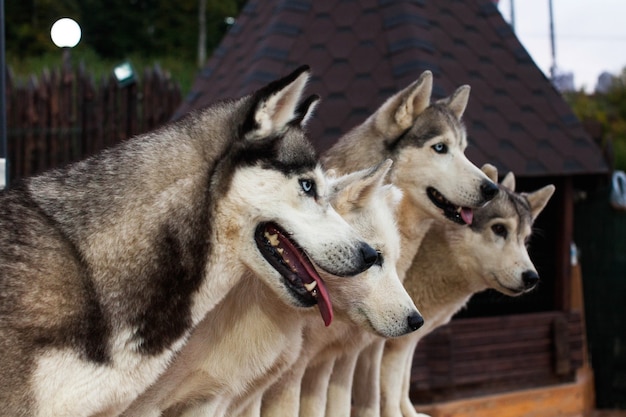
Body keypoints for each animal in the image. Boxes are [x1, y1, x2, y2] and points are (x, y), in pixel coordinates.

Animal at [368, 166, 552, 416]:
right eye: (499, 229)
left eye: (525, 239)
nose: (532, 277)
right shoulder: (393, 344)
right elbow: (391, 392)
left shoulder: (407, 342)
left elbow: (403, 386)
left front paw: (412, 413)